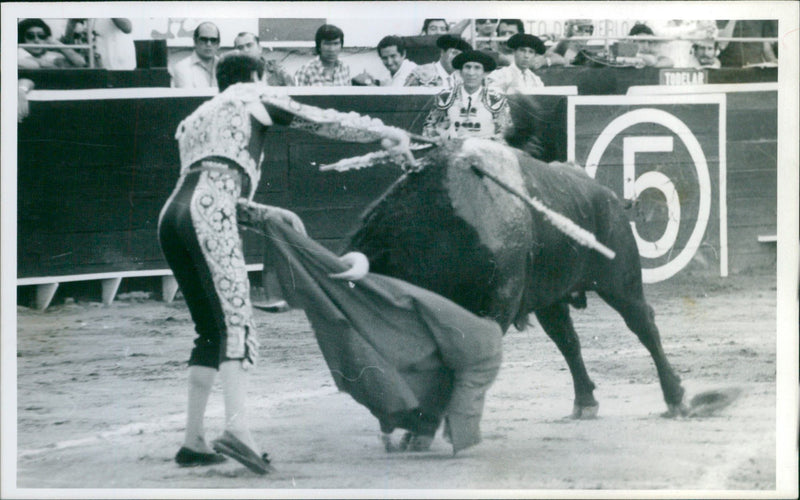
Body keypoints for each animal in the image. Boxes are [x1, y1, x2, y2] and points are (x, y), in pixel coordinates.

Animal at [344, 138, 688, 430]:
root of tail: (607, 195)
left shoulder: (495, 308)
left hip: (620, 283)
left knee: (644, 326)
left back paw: (675, 399)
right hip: (551, 300)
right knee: (569, 341)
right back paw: (585, 402)